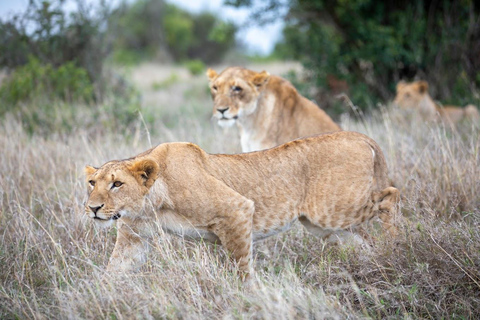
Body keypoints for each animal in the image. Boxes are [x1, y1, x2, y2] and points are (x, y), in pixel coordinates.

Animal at [85, 131, 398, 278]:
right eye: (92, 183)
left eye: (117, 184)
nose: (93, 208)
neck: (152, 202)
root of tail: (357, 135)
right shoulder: (134, 237)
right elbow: (114, 271)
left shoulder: (236, 209)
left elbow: (241, 266)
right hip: (325, 225)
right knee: (362, 240)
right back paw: (373, 262)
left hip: (334, 208)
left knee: (390, 196)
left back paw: (396, 242)